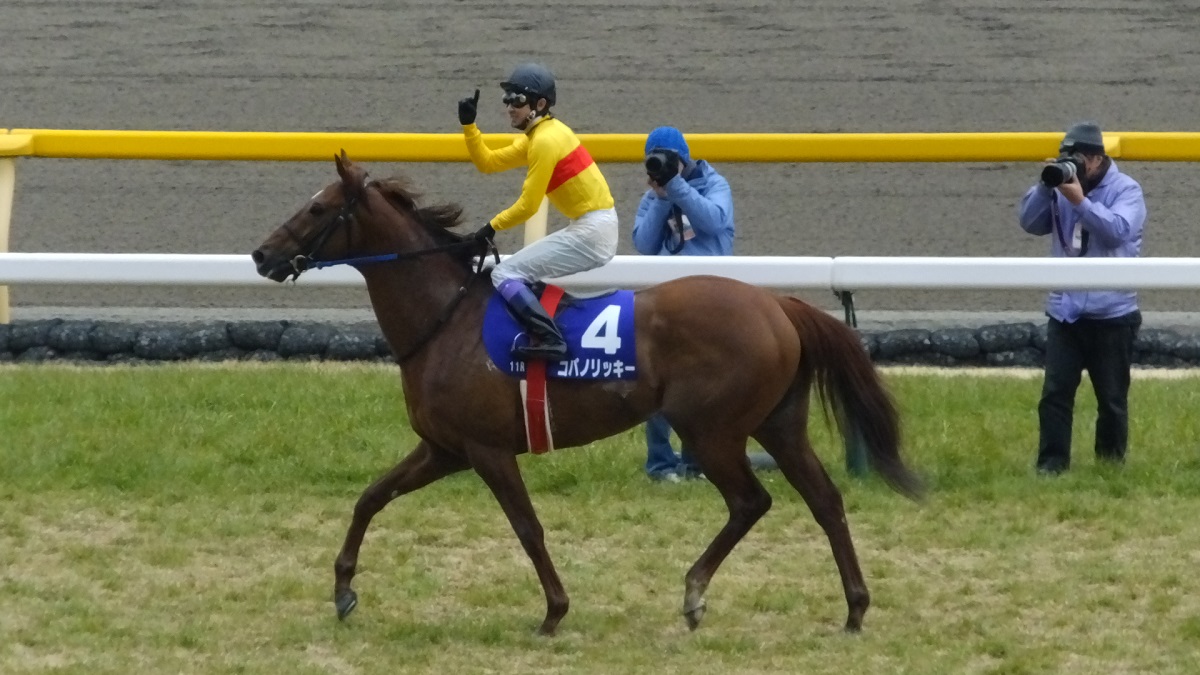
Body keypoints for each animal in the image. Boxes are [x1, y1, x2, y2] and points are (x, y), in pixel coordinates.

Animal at [251, 151, 922, 636]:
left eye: (318, 209)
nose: (261, 254)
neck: (445, 320)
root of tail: (777, 303)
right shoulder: (444, 448)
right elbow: (370, 498)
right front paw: (343, 590)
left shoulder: (487, 450)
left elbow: (528, 528)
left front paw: (553, 611)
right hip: (777, 424)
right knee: (825, 500)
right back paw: (855, 607)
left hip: (711, 429)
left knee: (751, 502)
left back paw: (695, 593)